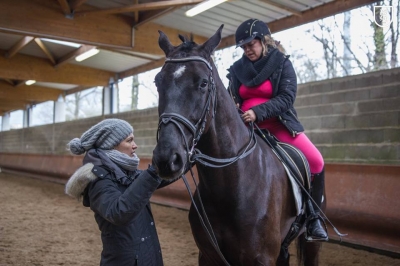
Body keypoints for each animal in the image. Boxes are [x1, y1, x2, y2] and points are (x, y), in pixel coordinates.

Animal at [152, 24, 324, 264]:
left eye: (203, 83)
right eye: (158, 82)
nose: (167, 159)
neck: (231, 185)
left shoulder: (262, 258)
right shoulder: (208, 256)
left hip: (311, 244)